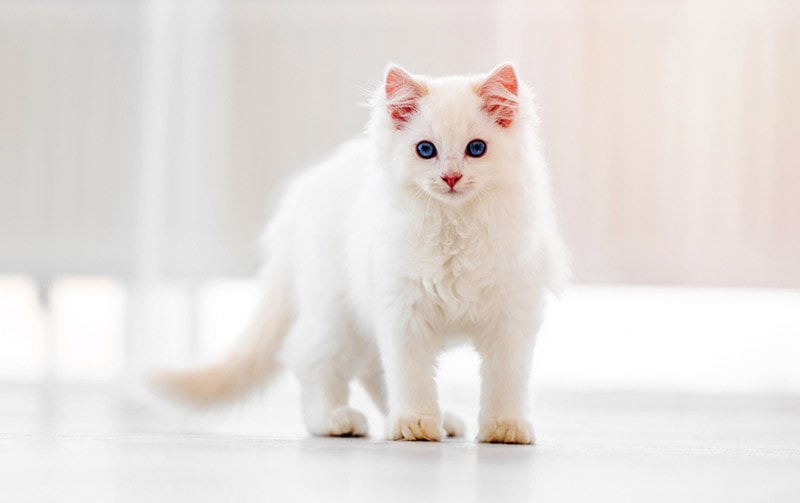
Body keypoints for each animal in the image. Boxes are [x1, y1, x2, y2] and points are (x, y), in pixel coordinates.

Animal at [155, 63, 568, 444]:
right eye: (426, 150)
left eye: (476, 149)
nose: (451, 177)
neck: (454, 228)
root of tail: (304, 193)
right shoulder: (403, 312)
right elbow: (410, 376)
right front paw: (415, 422)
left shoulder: (511, 317)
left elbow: (505, 380)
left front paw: (504, 427)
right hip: (336, 313)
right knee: (312, 358)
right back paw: (336, 420)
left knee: (369, 369)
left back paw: (436, 420)